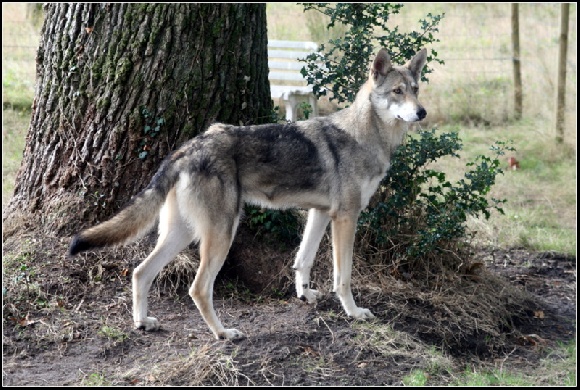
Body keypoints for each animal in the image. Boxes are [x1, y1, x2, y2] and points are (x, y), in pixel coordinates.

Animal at [70, 46, 428, 338]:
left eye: (416, 90)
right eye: (397, 92)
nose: (422, 112)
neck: (366, 136)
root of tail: (189, 148)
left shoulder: (320, 213)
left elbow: (303, 260)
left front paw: (305, 295)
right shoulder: (346, 218)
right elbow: (344, 277)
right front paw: (354, 312)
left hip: (181, 234)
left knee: (140, 272)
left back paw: (143, 322)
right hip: (221, 234)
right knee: (198, 288)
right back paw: (223, 333)